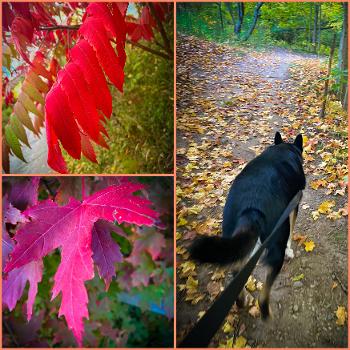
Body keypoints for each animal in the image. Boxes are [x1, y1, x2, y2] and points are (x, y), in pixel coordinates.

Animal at [190, 131, 304, 318]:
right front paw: (290, 250)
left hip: (234, 239)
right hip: (276, 246)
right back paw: (266, 314)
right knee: (263, 296)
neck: (284, 149)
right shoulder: (294, 204)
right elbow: (292, 231)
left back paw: (241, 302)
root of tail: (251, 208)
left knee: (237, 273)